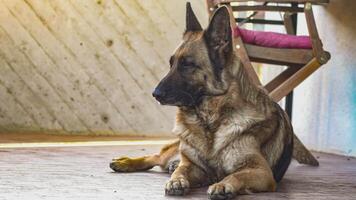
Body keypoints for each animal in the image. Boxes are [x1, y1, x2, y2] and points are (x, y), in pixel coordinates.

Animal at [110, 3, 318, 200]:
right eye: (171, 63)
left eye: (187, 64)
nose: (155, 93)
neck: (209, 119)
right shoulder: (194, 166)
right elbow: (181, 170)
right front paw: (176, 180)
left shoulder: (261, 172)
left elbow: (236, 175)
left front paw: (224, 185)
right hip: (176, 147)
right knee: (156, 157)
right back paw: (126, 163)